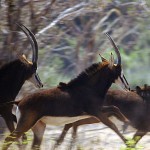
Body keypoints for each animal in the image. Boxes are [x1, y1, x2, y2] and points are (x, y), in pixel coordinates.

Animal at [1, 33, 130, 150]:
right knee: (8, 140)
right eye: (120, 72)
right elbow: (112, 125)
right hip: (25, 124)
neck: (88, 87)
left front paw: (126, 122)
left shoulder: (97, 109)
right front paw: (129, 143)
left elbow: (115, 108)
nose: (128, 87)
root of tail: (19, 101)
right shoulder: (96, 112)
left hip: (39, 127)